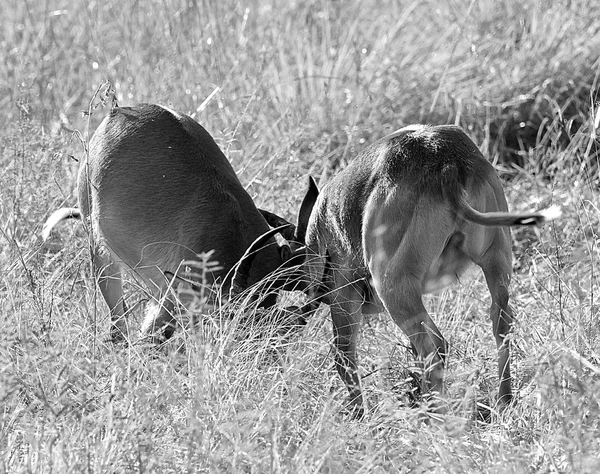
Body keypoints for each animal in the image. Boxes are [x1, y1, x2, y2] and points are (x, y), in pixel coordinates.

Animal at [298, 124, 560, 416]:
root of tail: (446, 162)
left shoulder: (343, 299)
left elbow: (344, 357)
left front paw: (359, 416)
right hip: (496, 263)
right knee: (500, 325)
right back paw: (503, 401)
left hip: (392, 288)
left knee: (434, 345)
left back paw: (435, 414)